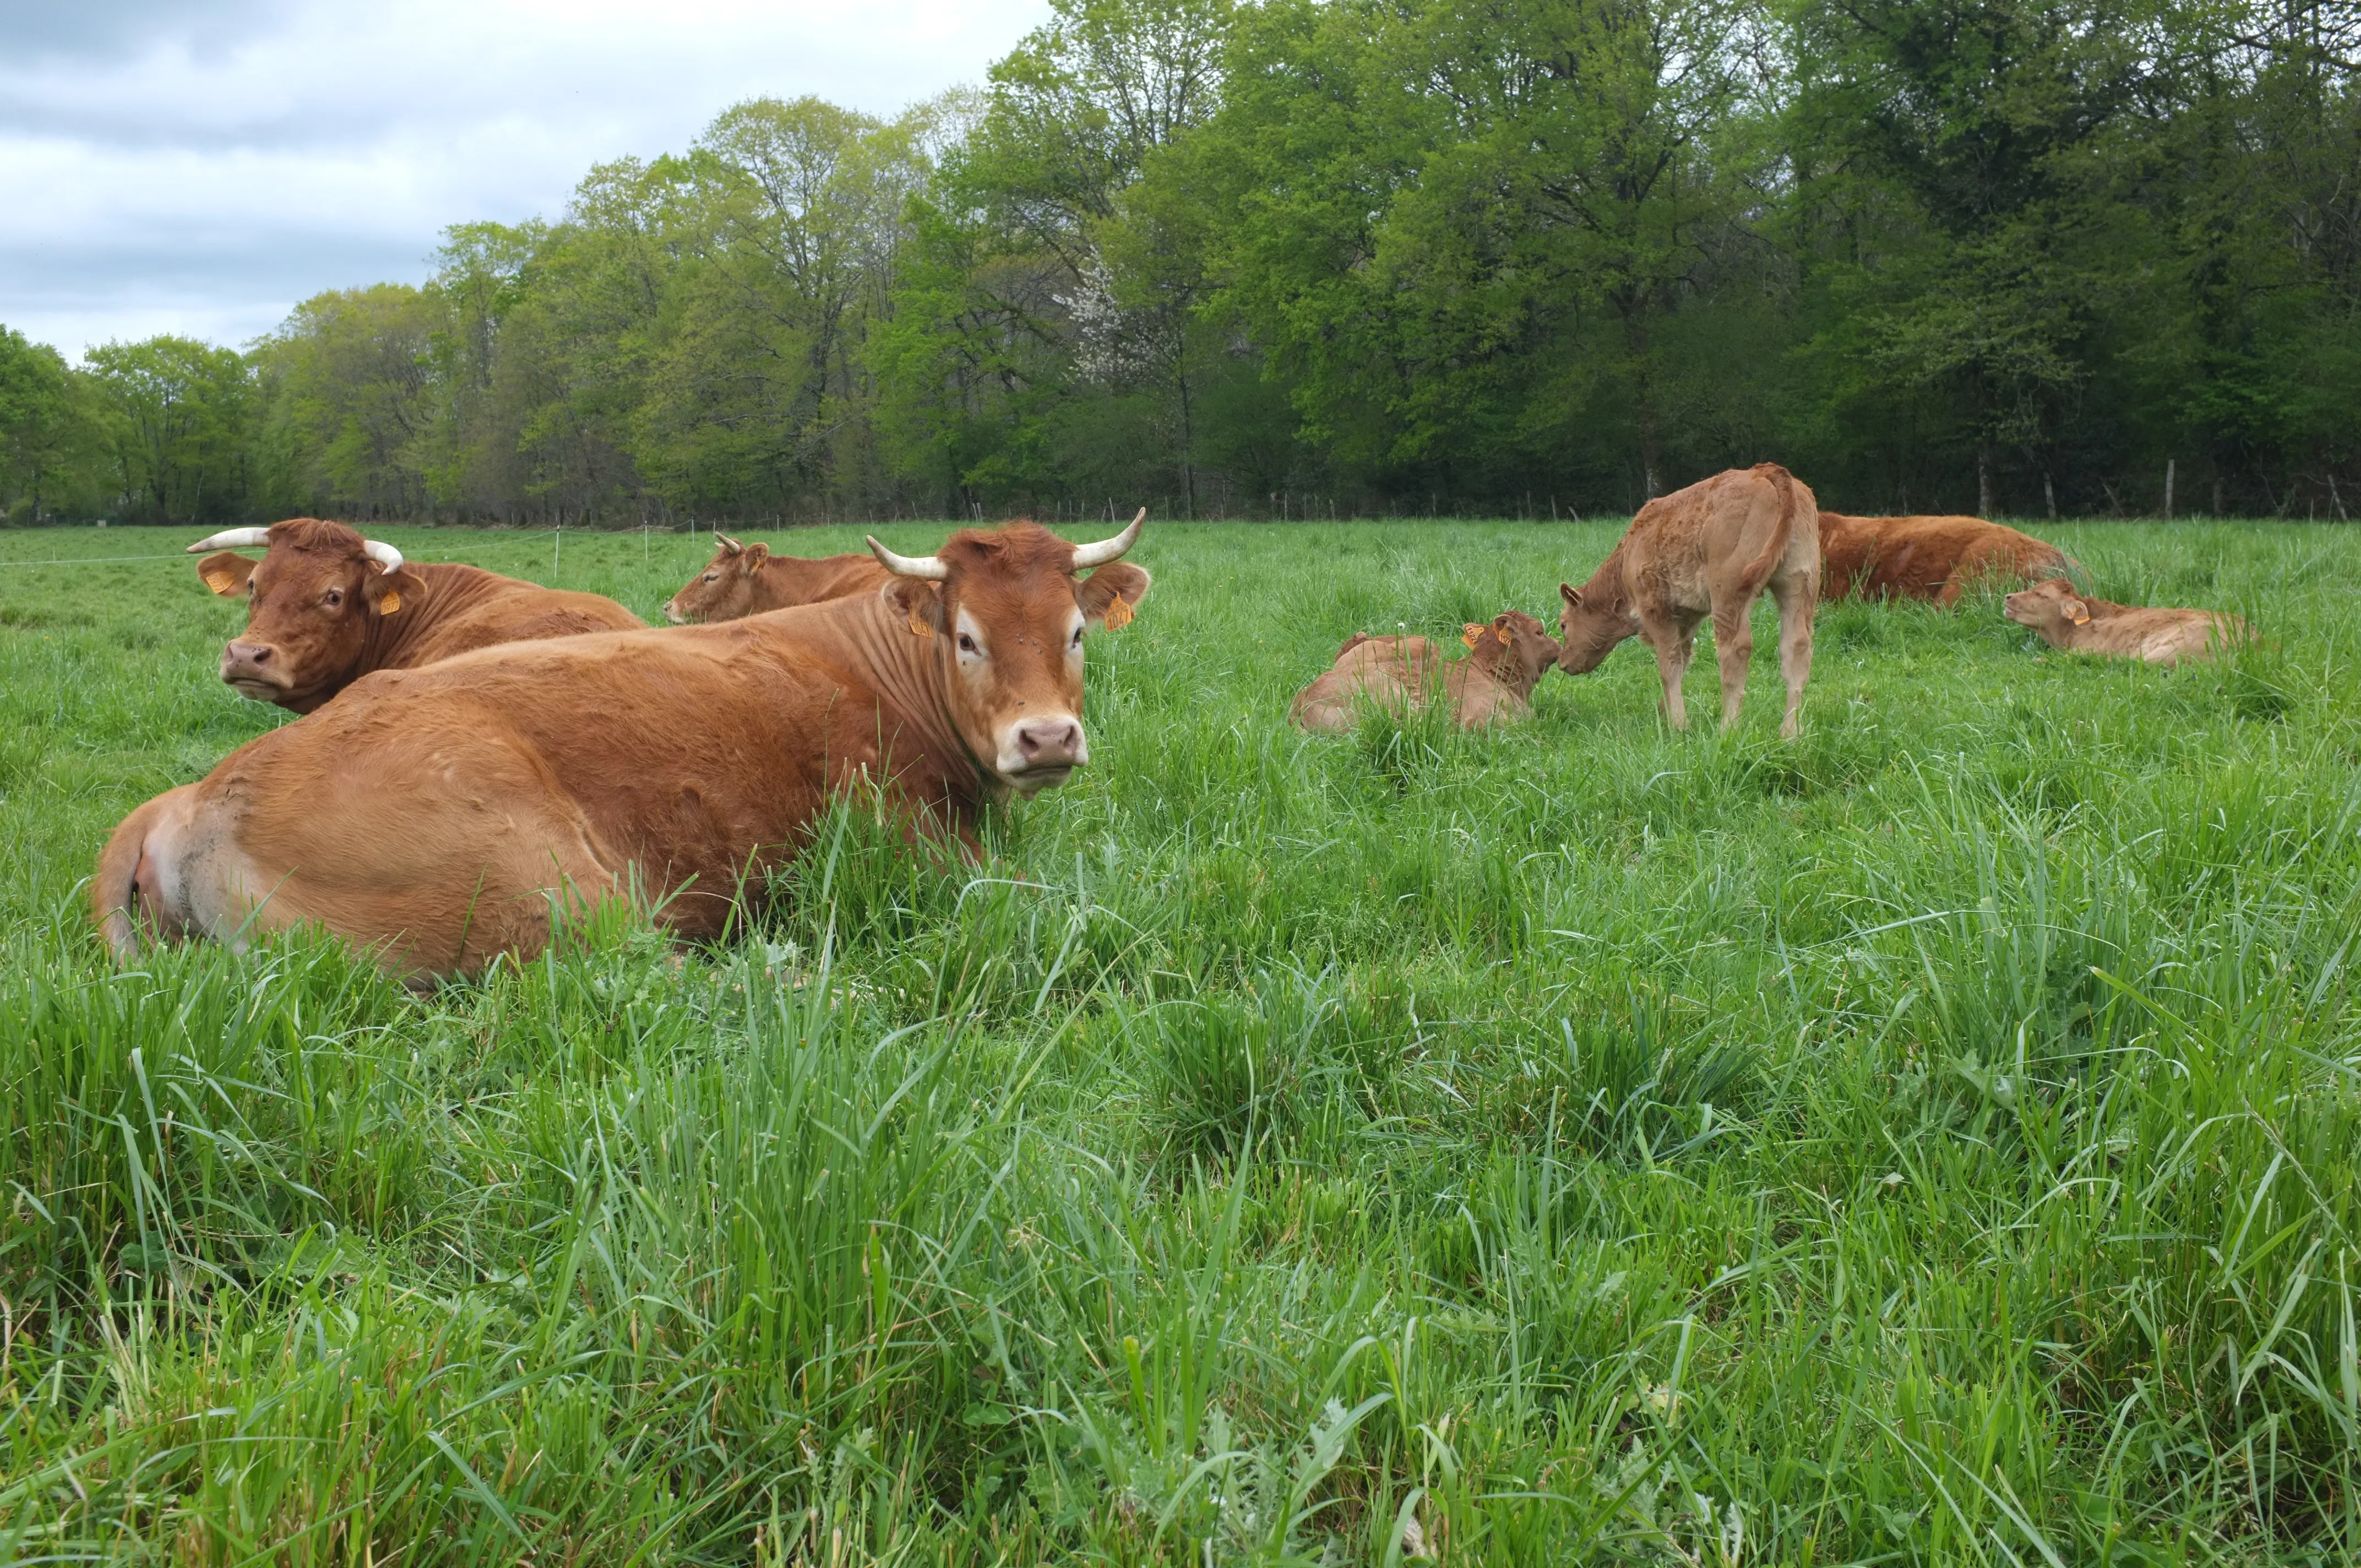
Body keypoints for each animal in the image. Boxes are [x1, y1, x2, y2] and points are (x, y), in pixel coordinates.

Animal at [1555, 464, 1820, 737]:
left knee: (1735, 651)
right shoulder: (1687, 616)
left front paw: (1678, 725)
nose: (1562, 662)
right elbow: (1683, 660)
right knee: (1796, 649)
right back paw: (1790, 734)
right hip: (1798, 585)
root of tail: (1764, 471)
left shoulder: (1656, 611)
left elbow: (1669, 665)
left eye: (1564, 624)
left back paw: (1728, 729)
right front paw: (1665, 712)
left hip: (1729, 594)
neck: (1629, 553)